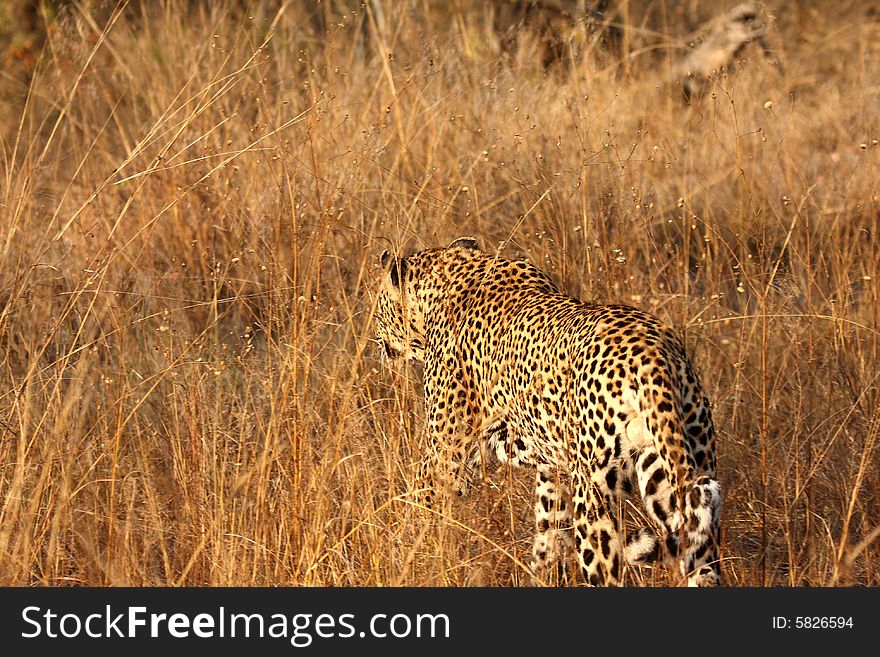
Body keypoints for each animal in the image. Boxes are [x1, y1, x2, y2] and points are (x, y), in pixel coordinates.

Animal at [372, 238, 720, 588]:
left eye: (378, 306)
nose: (376, 340)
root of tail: (654, 355)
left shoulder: (445, 454)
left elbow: (420, 508)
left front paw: (411, 555)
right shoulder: (551, 467)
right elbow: (548, 527)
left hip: (595, 492)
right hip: (677, 469)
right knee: (702, 557)